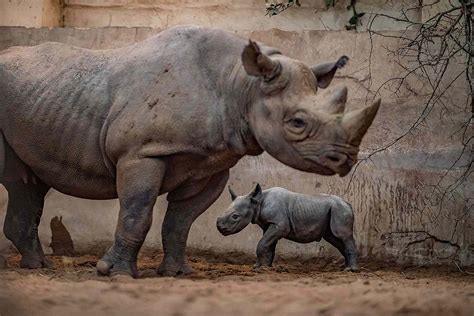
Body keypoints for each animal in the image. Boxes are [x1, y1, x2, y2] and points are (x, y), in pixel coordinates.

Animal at [217, 185, 358, 272]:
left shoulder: (279, 225)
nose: (220, 228)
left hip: (339, 210)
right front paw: (264, 267)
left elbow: (262, 243)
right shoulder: (270, 225)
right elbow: (268, 245)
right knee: (335, 239)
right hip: (335, 211)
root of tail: (348, 203)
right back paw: (345, 268)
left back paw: (351, 270)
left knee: (343, 236)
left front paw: (260, 267)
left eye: (235, 217)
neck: (257, 203)